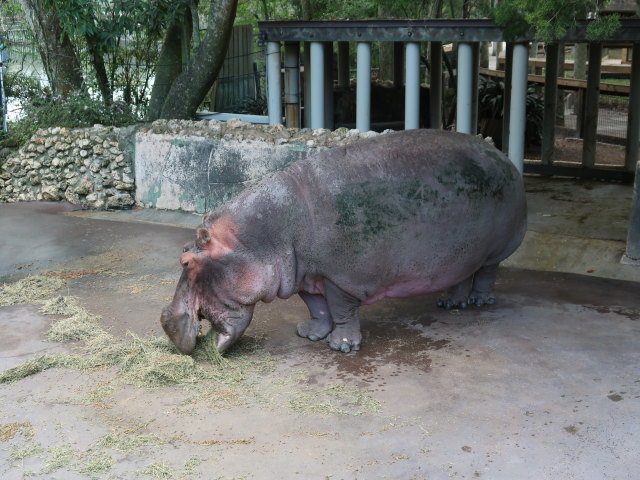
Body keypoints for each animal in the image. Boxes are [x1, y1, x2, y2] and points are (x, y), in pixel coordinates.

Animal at [160, 129, 524, 354]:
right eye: (183, 252)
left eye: (186, 260)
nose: (166, 321)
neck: (262, 236)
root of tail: (503, 156)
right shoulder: (306, 275)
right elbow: (318, 307)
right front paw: (309, 334)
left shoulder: (341, 278)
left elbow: (342, 310)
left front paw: (342, 346)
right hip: (461, 254)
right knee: (463, 275)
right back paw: (450, 304)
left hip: (497, 247)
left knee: (486, 273)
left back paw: (478, 302)